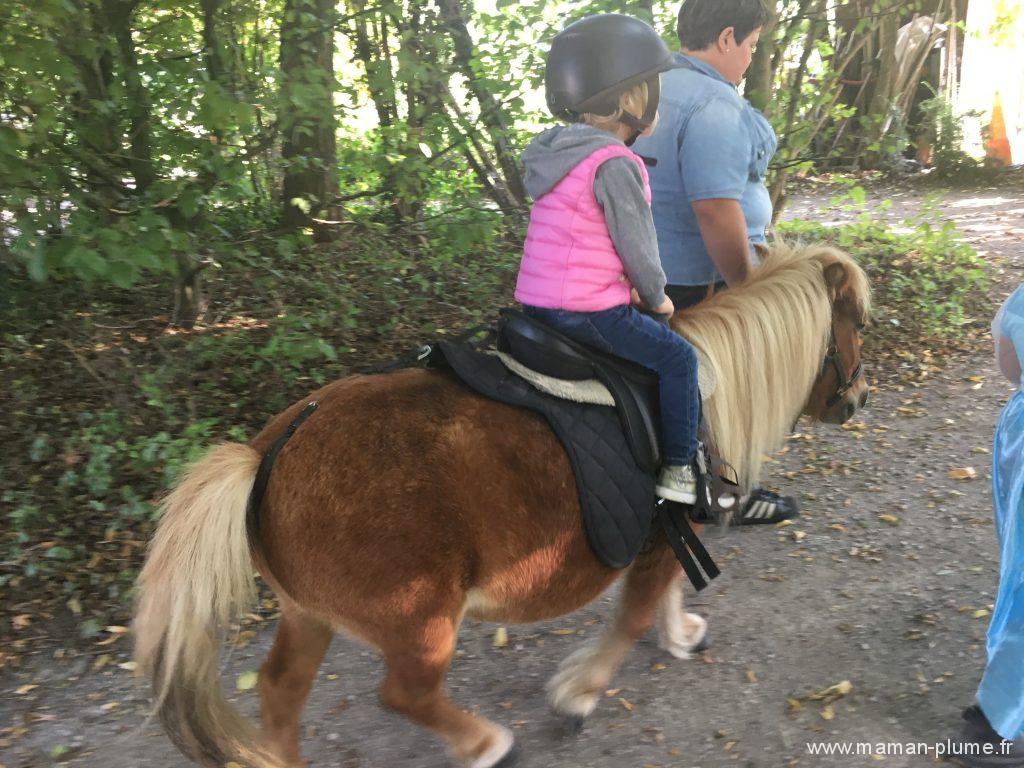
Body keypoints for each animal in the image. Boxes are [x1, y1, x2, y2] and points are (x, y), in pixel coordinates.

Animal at [134, 241, 872, 768]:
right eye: (857, 323)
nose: (857, 400)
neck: (704, 388)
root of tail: (270, 453)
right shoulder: (665, 530)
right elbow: (633, 613)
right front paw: (579, 693)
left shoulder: (665, 534)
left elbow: (660, 596)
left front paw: (680, 634)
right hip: (419, 619)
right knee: (406, 694)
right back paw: (485, 743)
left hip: (307, 614)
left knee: (281, 692)